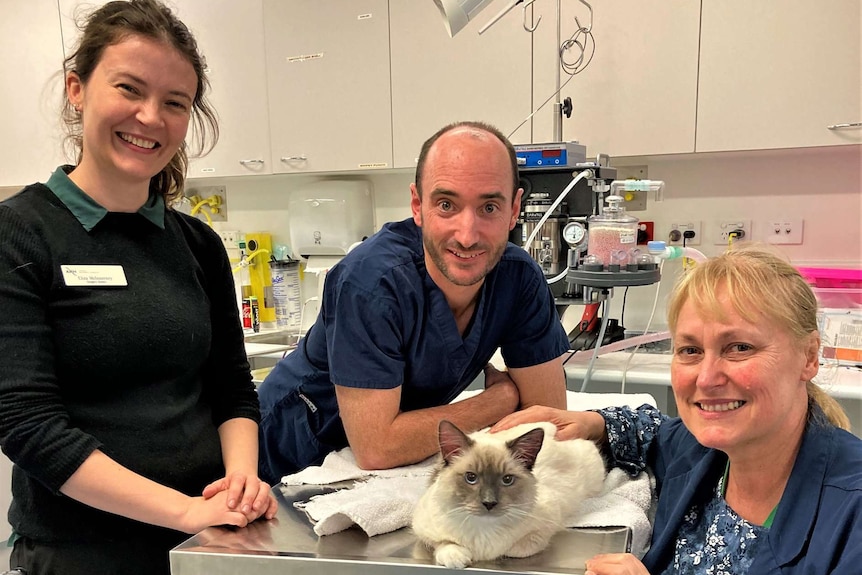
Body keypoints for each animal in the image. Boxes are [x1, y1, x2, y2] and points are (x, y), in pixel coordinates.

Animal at [414, 420, 608, 568]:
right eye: (471, 478)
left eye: (507, 480)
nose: (489, 503)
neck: (484, 529)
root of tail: (551, 428)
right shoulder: (422, 528)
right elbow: (443, 543)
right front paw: (459, 559)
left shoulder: (546, 525)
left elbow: (517, 549)